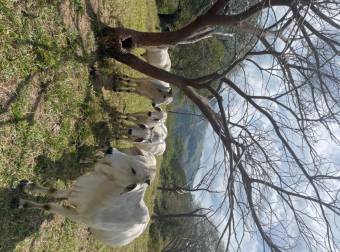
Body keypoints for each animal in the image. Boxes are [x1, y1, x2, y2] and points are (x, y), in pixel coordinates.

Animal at [10, 149, 157, 247]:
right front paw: (28, 186)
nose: (110, 150)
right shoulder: (76, 192)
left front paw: (21, 203)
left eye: (134, 170)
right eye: (137, 154)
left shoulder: (78, 216)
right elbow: (53, 191)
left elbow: (49, 205)